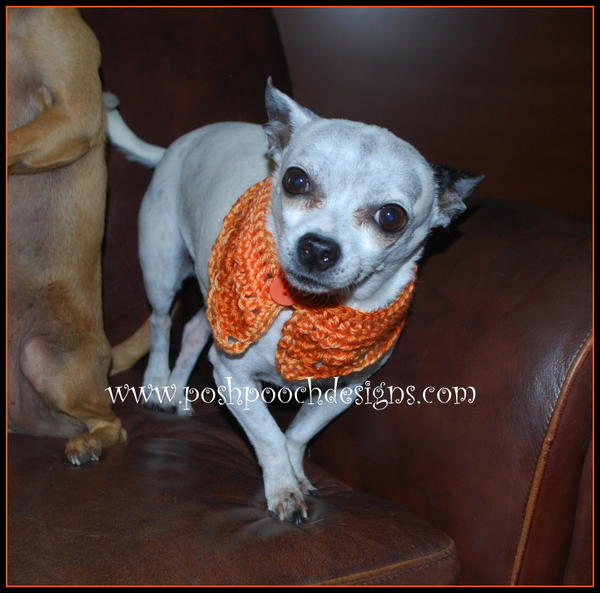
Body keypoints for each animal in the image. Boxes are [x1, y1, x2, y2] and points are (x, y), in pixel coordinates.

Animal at [105, 80, 482, 524]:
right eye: (295, 181)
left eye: (391, 217)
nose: (317, 247)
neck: (308, 309)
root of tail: (179, 144)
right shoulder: (233, 377)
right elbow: (268, 434)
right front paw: (283, 487)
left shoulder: (341, 392)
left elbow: (297, 433)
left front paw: (296, 474)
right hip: (162, 268)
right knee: (161, 322)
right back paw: (155, 381)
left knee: (195, 328)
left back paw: (175, 389)